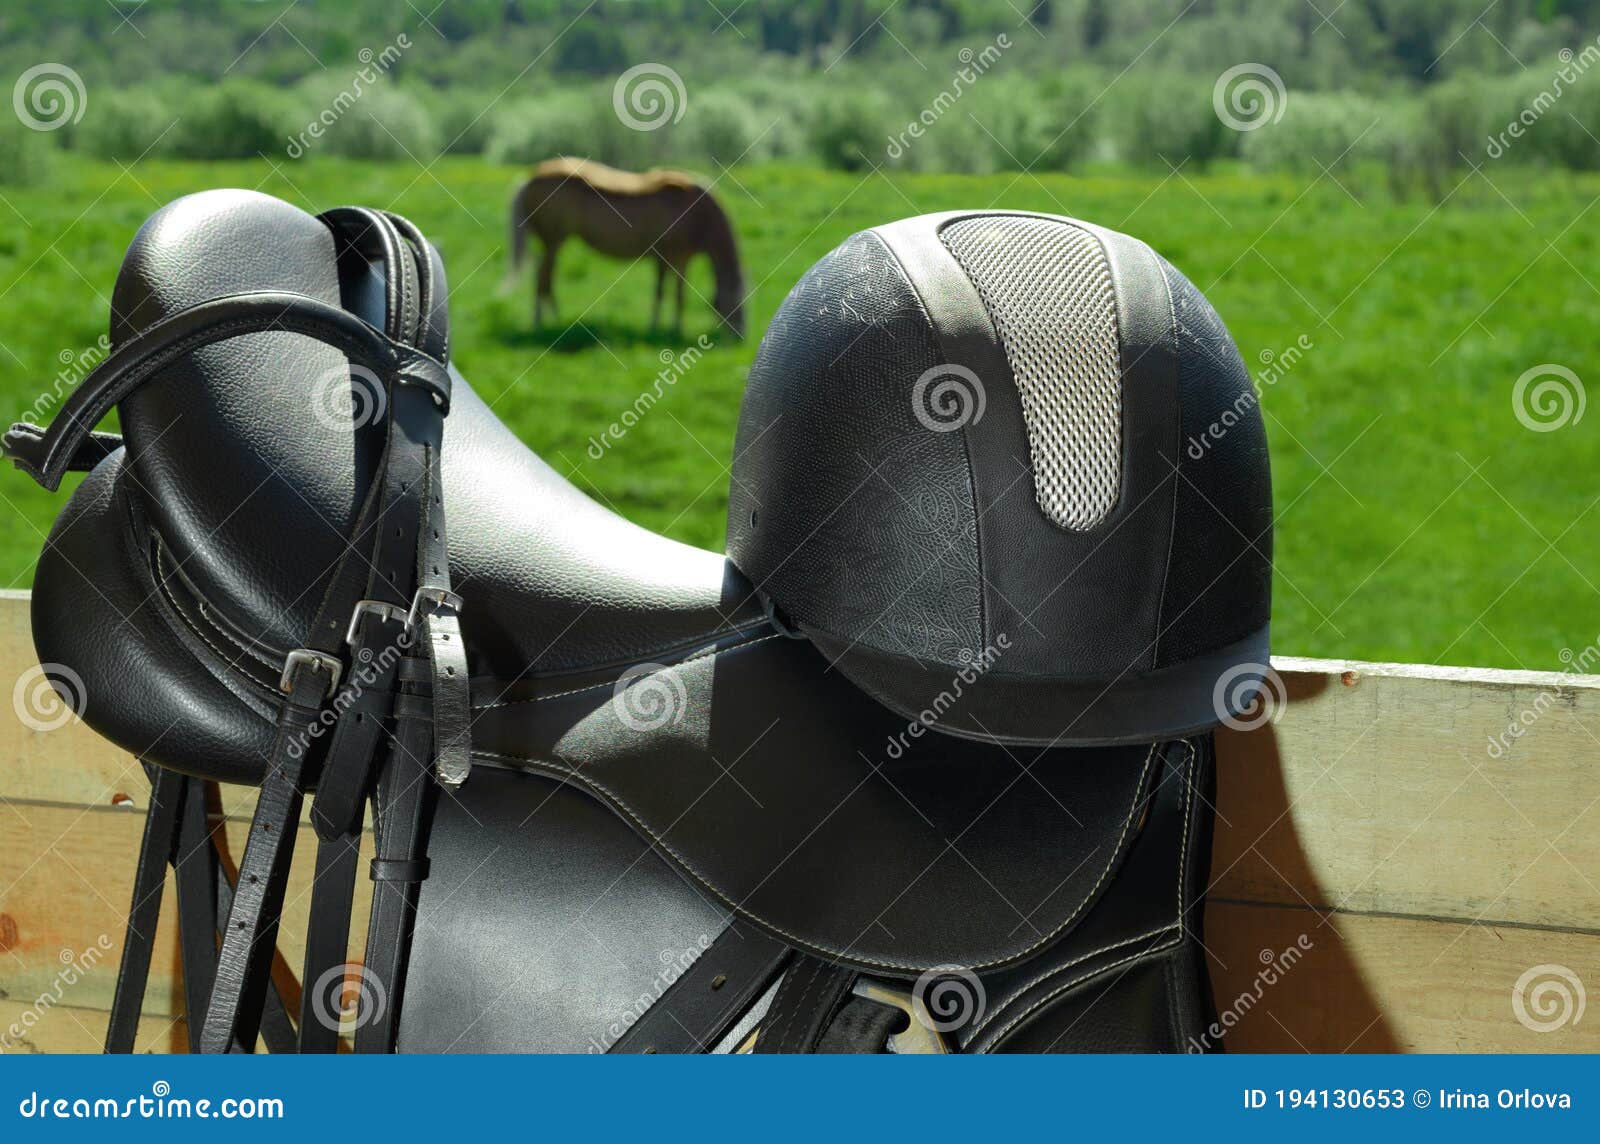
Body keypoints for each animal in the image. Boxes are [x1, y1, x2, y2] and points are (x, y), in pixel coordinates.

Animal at [505, 156, 742, 337]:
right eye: (736, 304)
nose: (739, 337)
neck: (699, 212)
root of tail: (530, 178)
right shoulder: (670, 256)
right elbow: (667, 293)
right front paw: (663, 328)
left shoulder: (675, 259)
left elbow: (672, 293)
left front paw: (670, 327)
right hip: (554, 240)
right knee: (542, 278)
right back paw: (541, 323)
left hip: (552, 243)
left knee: (547, 278)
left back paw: (555, 318)